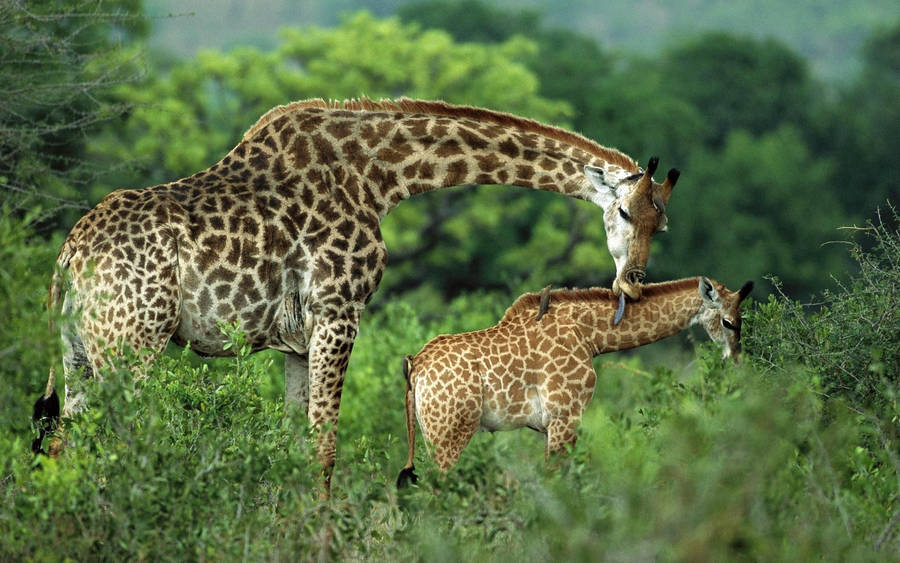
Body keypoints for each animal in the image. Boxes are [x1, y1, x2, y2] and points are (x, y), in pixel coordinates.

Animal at [30, 98, 679, 493]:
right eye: (625, 211)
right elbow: (325, 450)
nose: (632, 282)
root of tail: (68, 259)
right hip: (132, 346)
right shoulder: (339, 312)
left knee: (63, 443)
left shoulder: (295, 340)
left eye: (662, 224)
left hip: (80, 351)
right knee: (116, 445)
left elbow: (295, 445)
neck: (381, 177)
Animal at [396, 277, 753, 486]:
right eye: (728, 322)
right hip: (450, 432)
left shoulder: (549, 425)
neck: (591, 335)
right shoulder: (565, 416)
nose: (736, 360)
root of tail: (415, 366)